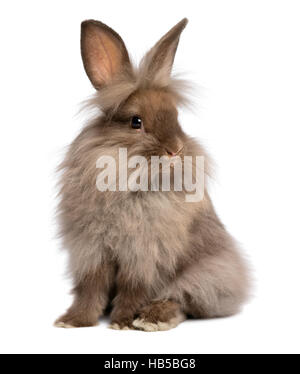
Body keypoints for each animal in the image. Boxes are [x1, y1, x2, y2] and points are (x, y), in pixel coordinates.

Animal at [55, 19, 250, 332]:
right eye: (136, 122)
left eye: (176, 117)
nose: (176, 150)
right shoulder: (91, 252)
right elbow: (90, 288)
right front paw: (73, 321)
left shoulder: (144, 257)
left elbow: (133, 290)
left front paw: (122, 322)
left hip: (205, 274)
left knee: (182, 300)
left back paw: (151, 319)